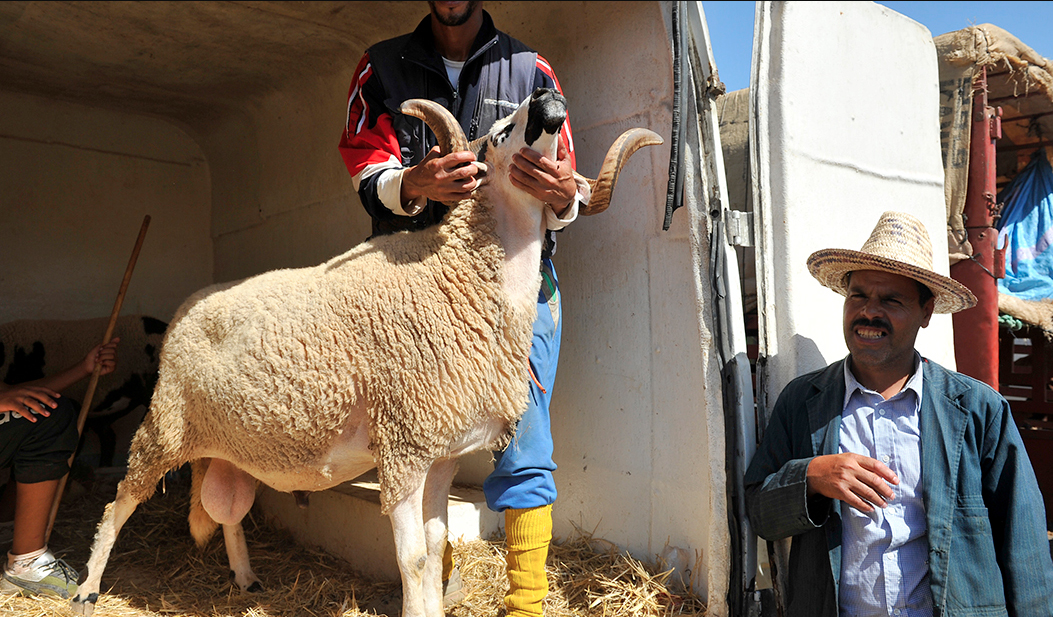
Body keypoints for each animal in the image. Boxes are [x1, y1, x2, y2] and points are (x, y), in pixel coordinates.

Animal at [72, 90, 657, 614]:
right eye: (497, 134)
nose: (546, 99)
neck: (453, 280)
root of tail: (186, 309)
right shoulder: (403, 446)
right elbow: (414, 562)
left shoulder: (442, 456)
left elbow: (436, 548)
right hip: (166, 424)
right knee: (120, 500)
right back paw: (87, 589)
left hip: (232, 446)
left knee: (228, 510)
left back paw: (245, 577)